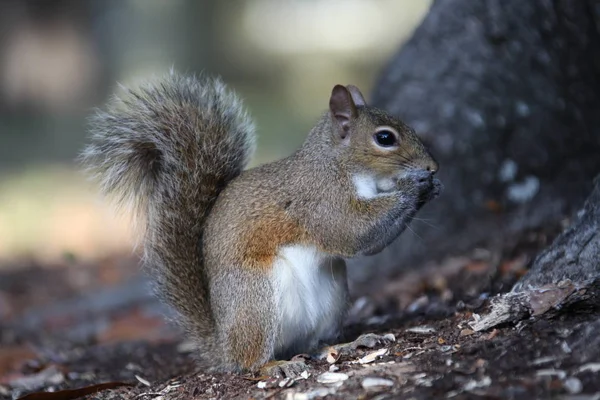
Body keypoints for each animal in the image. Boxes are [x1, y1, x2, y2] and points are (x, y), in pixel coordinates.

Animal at [81, 72, 440, 376]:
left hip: (332, 296)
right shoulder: (321, 201)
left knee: (314, 344)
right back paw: (273, 366)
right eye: (385, 138)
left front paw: (430, 186)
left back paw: (347, 343)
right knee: (250, 361)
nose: (432, 167)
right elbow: (352, 234)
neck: (337, 164)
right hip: (256, 299)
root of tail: (222, 346)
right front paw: (415, 187)